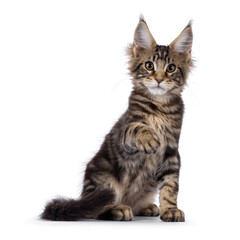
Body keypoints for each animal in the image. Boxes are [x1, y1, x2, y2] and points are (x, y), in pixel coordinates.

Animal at [40, 16, 193, 222]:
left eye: (171, 68)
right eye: (149, 66)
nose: (159, 79)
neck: (159, 107)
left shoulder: (171, 152)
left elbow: (170, 186)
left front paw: (171, 209)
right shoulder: (124, 140)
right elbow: (135, 128)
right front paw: (149, 137)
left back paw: (145, 207)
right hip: (103, 179)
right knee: (96, 210)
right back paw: (118, 208)